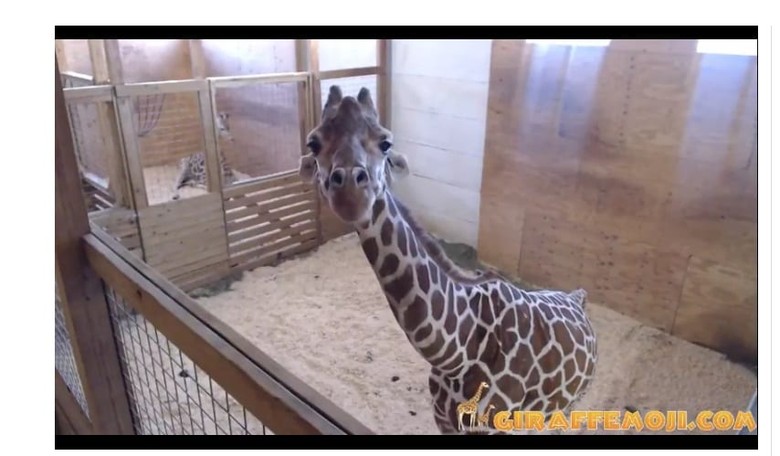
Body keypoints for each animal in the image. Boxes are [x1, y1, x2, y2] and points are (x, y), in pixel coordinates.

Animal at [298, 85, 598, 435]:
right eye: (314, 143)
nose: (350, 194)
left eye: (386, 142)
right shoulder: (444, 419)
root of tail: (578, 296)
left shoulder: (491, 425)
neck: (457, 354)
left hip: (571, 402)